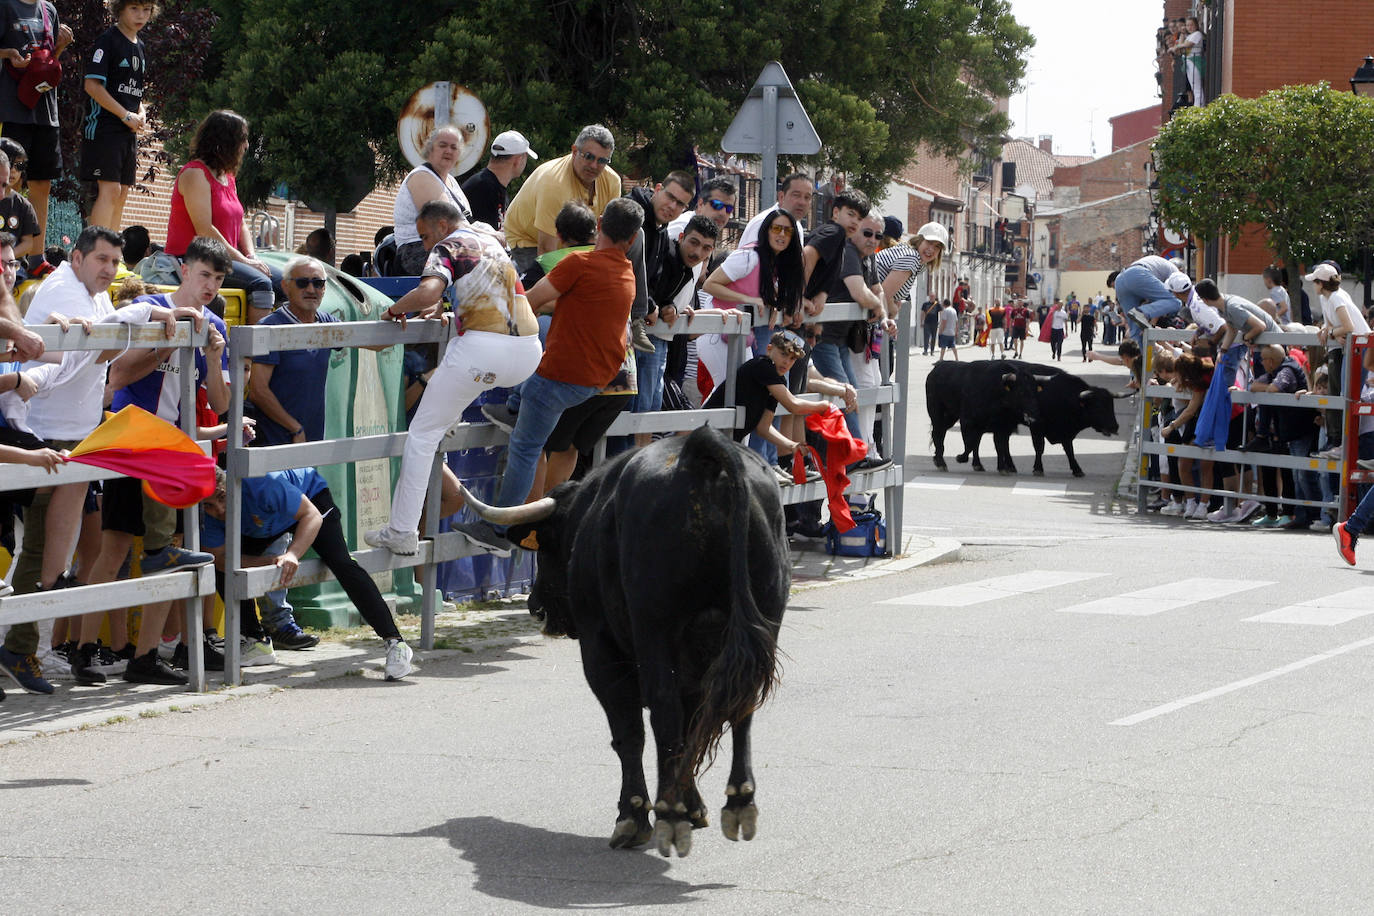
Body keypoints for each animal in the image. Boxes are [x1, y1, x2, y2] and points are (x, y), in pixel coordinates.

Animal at [461, 425, 785, 856]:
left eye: (547, 546)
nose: (535, 607)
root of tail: (698, 451)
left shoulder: (600, 649)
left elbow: (628, 731)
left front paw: (634, 815)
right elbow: (692, 726)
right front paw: (693, 805)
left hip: (654, 629)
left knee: (662, 712)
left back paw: (668, 815)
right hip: (763, 619)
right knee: (741, 706)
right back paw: (738, 802)